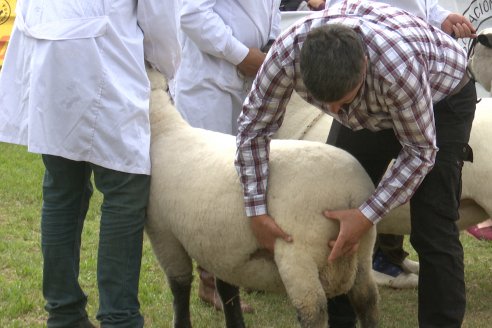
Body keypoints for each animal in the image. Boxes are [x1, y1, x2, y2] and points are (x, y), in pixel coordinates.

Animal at [144, 67, 378, 328]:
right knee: (367, 298)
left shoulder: (163, 233)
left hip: (299, 252)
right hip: (362, 246)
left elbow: (179, 286)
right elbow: (226, 288)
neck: (163, 130)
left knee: (312, 309)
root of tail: (349, 191)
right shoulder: (222, 246)